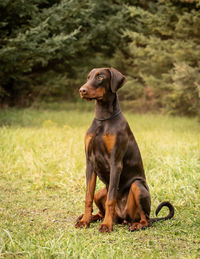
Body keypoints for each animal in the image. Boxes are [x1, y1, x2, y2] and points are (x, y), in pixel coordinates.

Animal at [76, 67, 174, 234]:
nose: (82, 90)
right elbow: (88, 196)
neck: (103, 120)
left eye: (100, 77)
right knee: (101, 208)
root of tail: (122, 217)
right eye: (88, 77)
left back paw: (134, 225)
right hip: (100, 192)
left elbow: (111, 199)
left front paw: (107, 225)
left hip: (138, 186)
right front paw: (85, 221)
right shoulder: (90, 162)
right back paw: (93, 217)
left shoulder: (115, 163)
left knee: (146, 219)